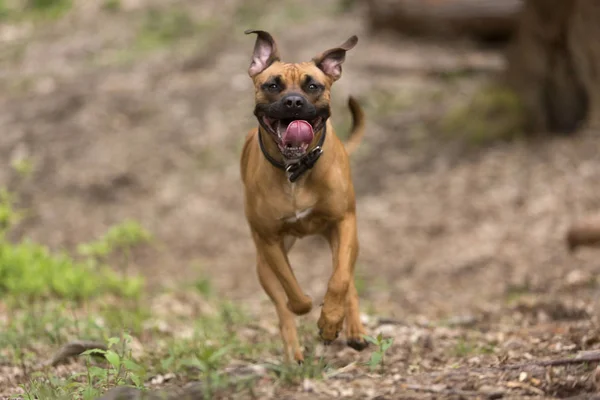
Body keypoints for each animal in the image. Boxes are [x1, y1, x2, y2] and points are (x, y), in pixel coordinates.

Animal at [241, 29, 368, 364]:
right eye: (272, 85)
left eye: (313, 86)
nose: (294, 102)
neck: (295, 171)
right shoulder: (269, 240)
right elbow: (291, 289)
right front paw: (307, 305)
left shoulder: (344, 222)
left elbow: (339, 280)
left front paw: (330, 322)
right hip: (261, 264)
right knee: (281, 307)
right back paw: (294, 354)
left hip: (344, 237)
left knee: (346, 276)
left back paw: (354, 330)